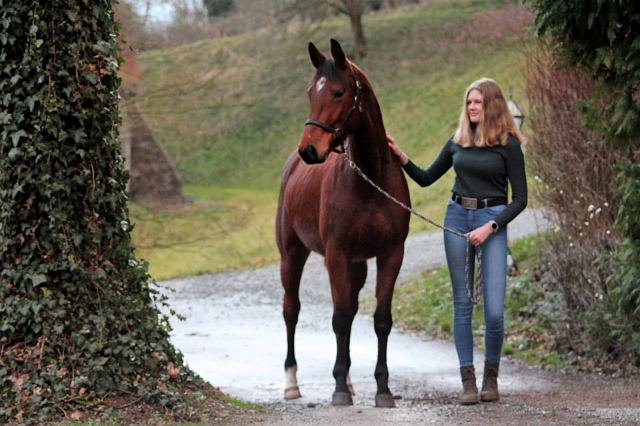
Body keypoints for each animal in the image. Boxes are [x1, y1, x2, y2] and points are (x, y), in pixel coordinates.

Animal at [274, 39, 410, 406]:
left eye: (338, 93)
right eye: (310, 92)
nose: (309, 149)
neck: (371, 180)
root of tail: (291, 167)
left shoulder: (391, 254)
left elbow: (380, 320)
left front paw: (383, 388)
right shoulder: (336, 254)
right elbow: (340, 317)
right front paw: (337, 389)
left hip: (356, 265)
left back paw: (348, 380)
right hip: (292, 255)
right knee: (292, 310)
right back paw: (292, 382)